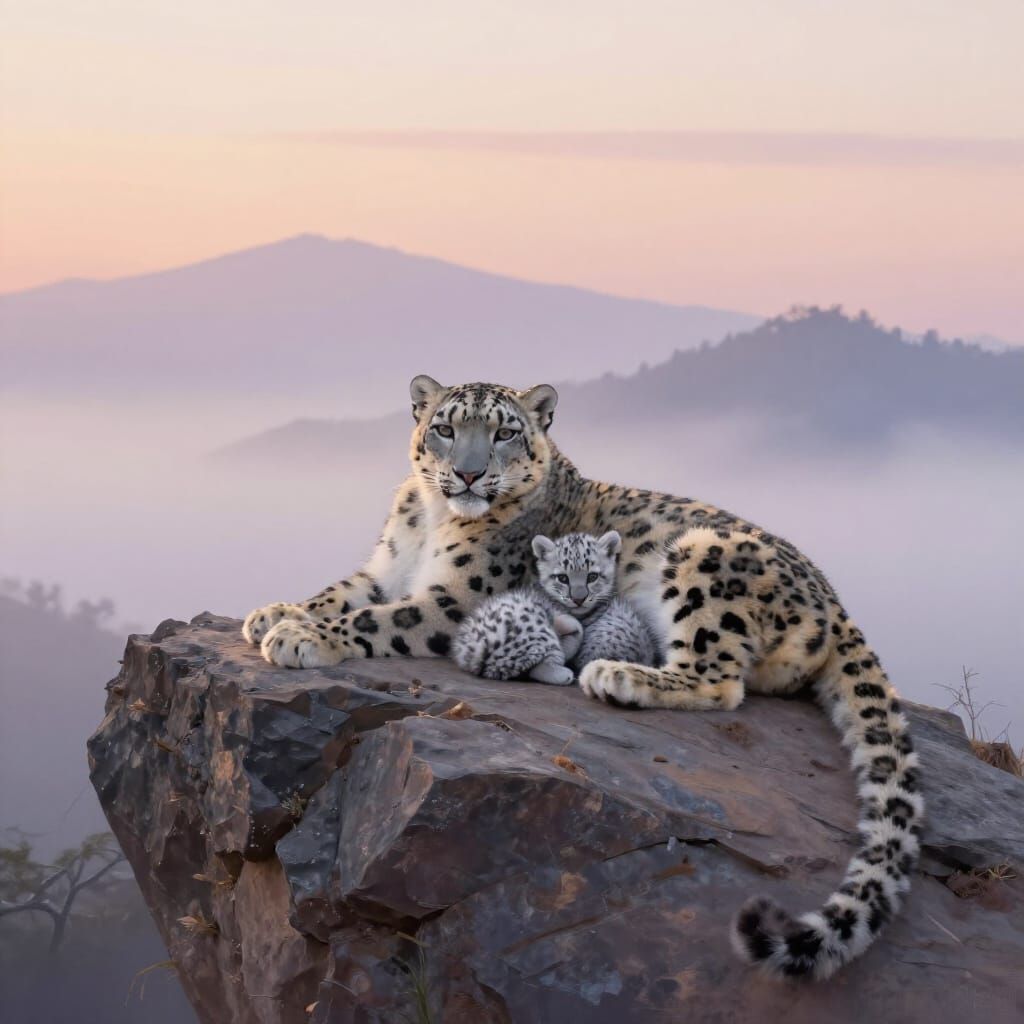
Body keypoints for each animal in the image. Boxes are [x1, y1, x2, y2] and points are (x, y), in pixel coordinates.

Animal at [242, 375, 922, 980]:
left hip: (702, 558)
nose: (468, 474)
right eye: (444, 428)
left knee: (721, 680)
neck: (431, 520)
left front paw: (303, 637)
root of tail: (836, 604)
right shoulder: (388, 567)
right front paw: (274, 613)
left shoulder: (453, 601)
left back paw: (616, 674)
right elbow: (342, 592)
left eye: (505, 432)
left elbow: (376, 619)